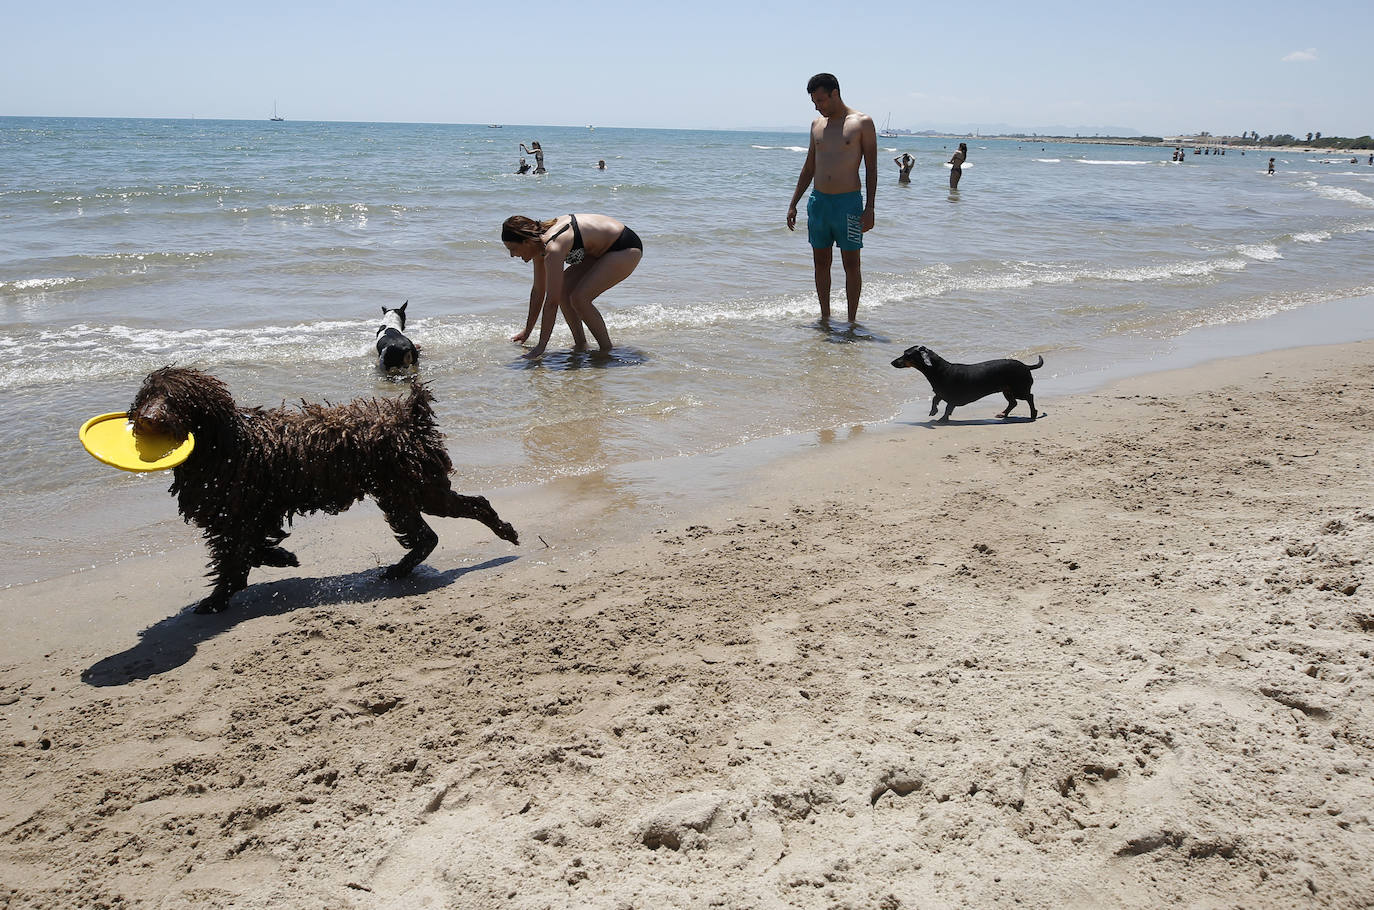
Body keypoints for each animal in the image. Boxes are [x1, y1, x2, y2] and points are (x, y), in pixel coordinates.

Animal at [127, 365, 519, 613]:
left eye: (176, 400)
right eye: (147, 397)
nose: (148, 418)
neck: (227, 445)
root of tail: (412, 415)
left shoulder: (240, 513)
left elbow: (234, 559)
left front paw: (216, 600)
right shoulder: (246, 514)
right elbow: (249, 549)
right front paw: (282, 557)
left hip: (419, 489)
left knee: (474, 505)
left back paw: (505, 532)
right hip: (400, 494)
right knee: (427, 536)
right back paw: (400, 569)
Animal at [890, 346, 1038, 423]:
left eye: (907, 355)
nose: (891, 362)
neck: (940, 370)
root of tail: (1026, 366)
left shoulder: (952, 398)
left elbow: (947, 408)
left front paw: (942, 419)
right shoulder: (940, 393)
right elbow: (935, 399)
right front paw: (933, 411)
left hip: (1019, 390)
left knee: (1029, 397)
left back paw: (1033, 414)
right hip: (1007, 390)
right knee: (1013, 403)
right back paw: (1003, 414)